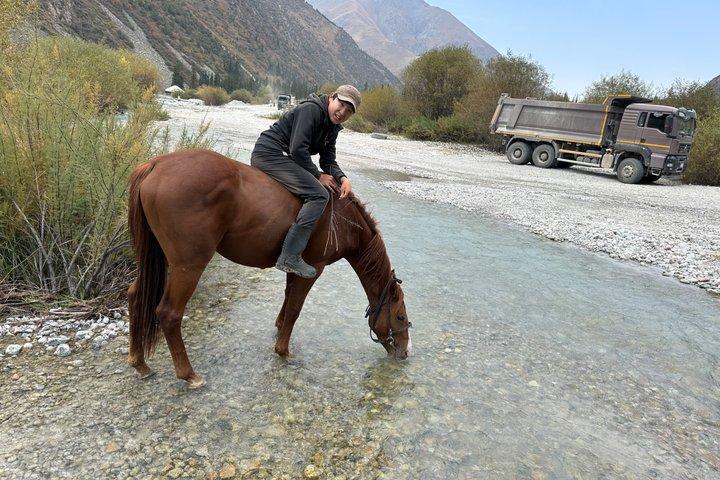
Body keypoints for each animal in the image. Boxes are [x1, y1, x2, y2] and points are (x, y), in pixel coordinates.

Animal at [126, 148, 411, 388]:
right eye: (399, 317)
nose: (405, 352)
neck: (343, 222)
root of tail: (156, 164)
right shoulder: (314, 269)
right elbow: (295, 309)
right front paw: (283, 351)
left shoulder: (296, 267)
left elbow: (287, 300)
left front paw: (278, 327)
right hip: (188, 266)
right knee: (169, 313)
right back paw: (189, 374)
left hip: (157, 260)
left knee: (135, 295)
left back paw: (139, 363)